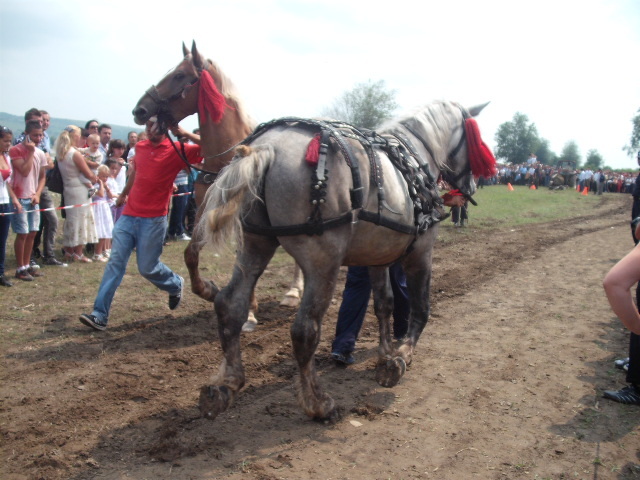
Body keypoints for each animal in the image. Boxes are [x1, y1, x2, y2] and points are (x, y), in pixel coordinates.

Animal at [195, 100, 490, 420]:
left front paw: (385, 353)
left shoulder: (378, 256)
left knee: (230, 306)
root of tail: (267, 147)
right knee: (305, 330)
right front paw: (399, 359)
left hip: (255, 245)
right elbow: (421, 308)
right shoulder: (421, 253)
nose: (473, 187)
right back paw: (317, 403)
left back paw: (226, 385)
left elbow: (384, 304)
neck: (414, 157)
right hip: (322, 263)